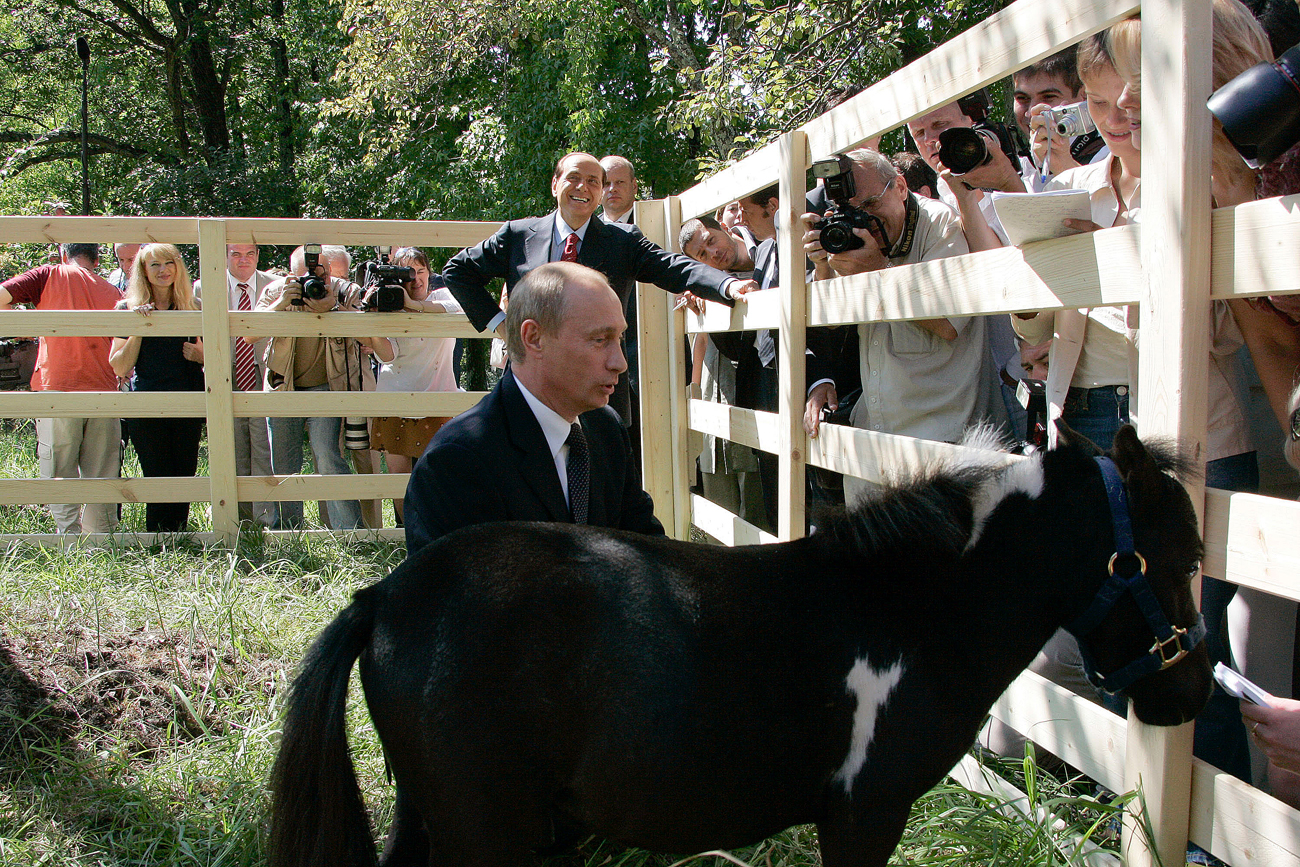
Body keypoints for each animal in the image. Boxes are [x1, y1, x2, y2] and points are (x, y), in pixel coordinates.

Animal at [269, 426, 1211, 867]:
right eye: (1186, 555)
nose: (1191, 693)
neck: (912, 606)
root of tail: (385, 597)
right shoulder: (867, 813)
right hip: (482, 829)